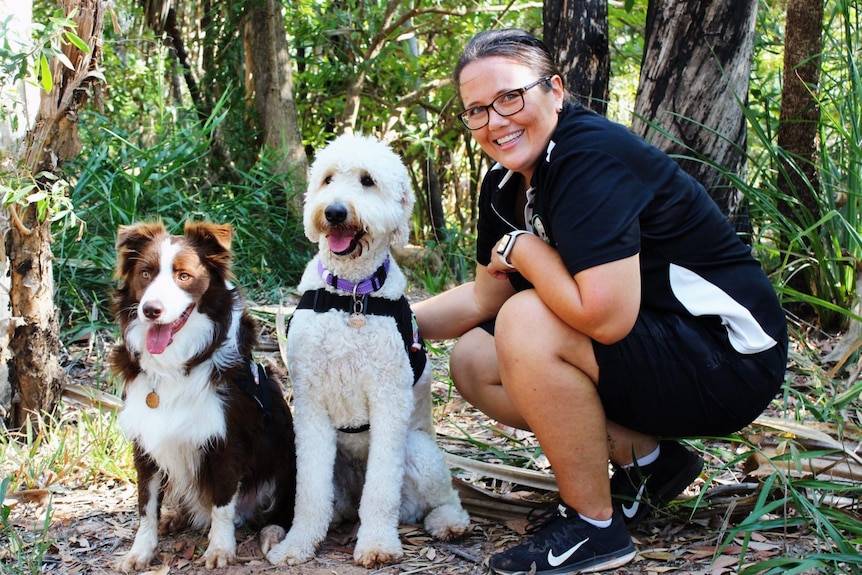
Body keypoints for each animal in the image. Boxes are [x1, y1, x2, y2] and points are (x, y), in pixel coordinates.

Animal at [109, 220, 298, 572]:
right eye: (145, 273)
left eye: (183, 276)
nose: (150, 310)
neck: (176, 365)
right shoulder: (145, 441)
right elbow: (145, 505)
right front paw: (140, 551)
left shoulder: (225, 440)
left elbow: (222, 504)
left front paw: (220, 549)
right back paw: (174, 517)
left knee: (283, 507)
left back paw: (272, 533)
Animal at [266, 134, 472, 568]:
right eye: (327, 179)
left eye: (367, 180)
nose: (334, 212)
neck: (351, 296)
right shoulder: (310, 404)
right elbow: (310, 491)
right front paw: (297, 545)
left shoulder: (388, 400)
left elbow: (381, 488)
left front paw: (377, 545)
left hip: (420, 450)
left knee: (444, 496)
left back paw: (448, 522)